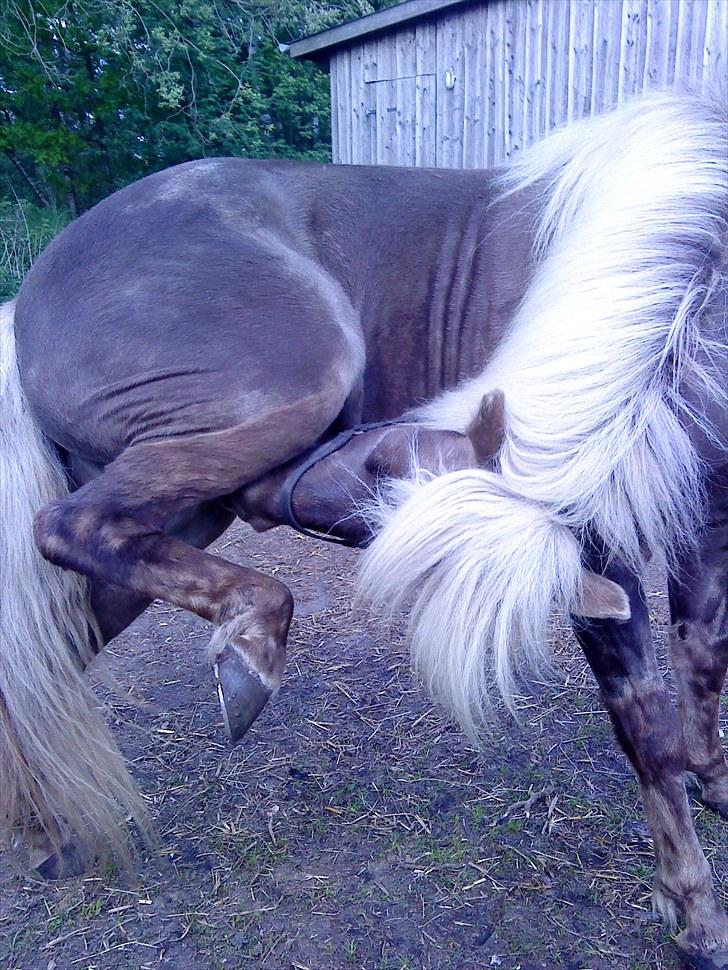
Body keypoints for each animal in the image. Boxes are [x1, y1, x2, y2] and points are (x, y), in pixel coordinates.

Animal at [0, 91, 724, 960]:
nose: (275, 491)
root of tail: (27, 298)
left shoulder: (704, 522)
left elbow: (703, 662)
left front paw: (715, 785)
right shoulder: (595, 542)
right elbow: (643, 720)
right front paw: (693, 911)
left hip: (185, 508)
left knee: (51, 642)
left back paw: (41, 834)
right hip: (280, 402)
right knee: (73, 530)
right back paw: (249, 651)